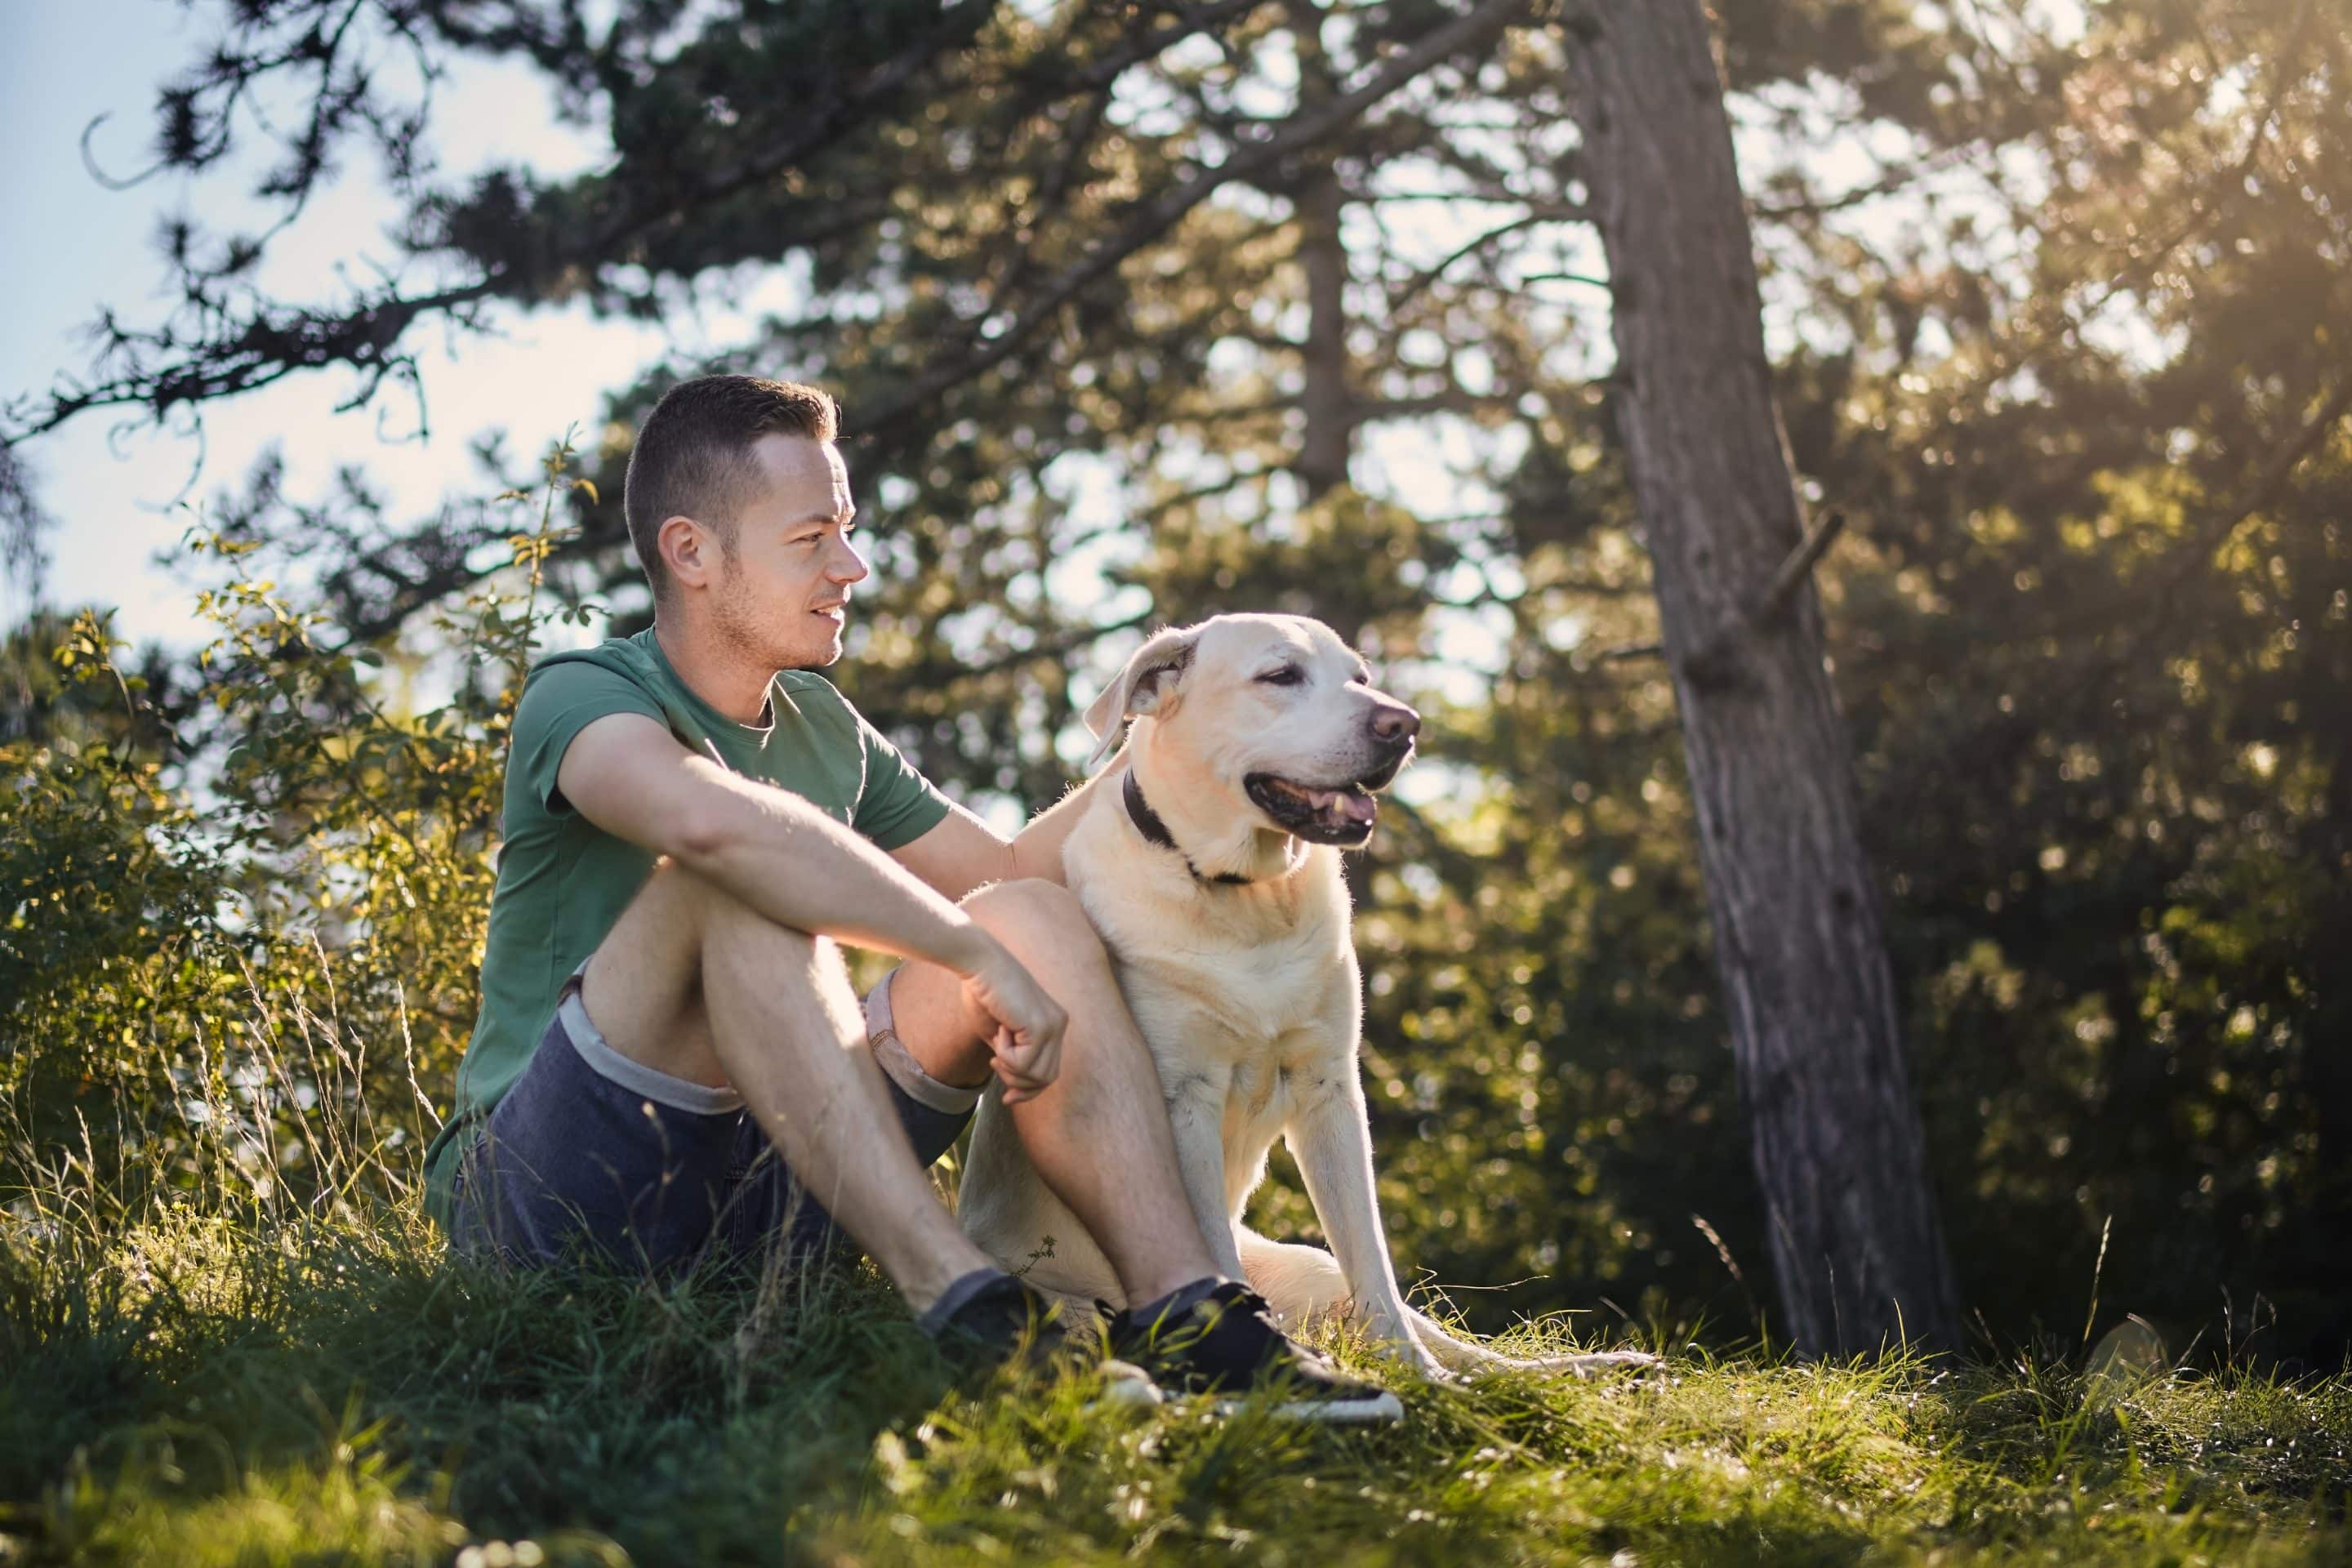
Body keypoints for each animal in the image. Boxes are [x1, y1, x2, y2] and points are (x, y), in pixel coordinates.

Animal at [955, 611, 1655, 1373]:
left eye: (1362, 677)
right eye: (1281, 676)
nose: (1403, 724)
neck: (1247, 898)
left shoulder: (1331, 1090)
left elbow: (1373, 1262)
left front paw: (1421, 1377)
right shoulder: (1182, 1103)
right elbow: (1211, 1249)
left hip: (1310, 1264)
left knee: (1452, 1339)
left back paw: (1579, 1370)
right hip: (1076, 1309)